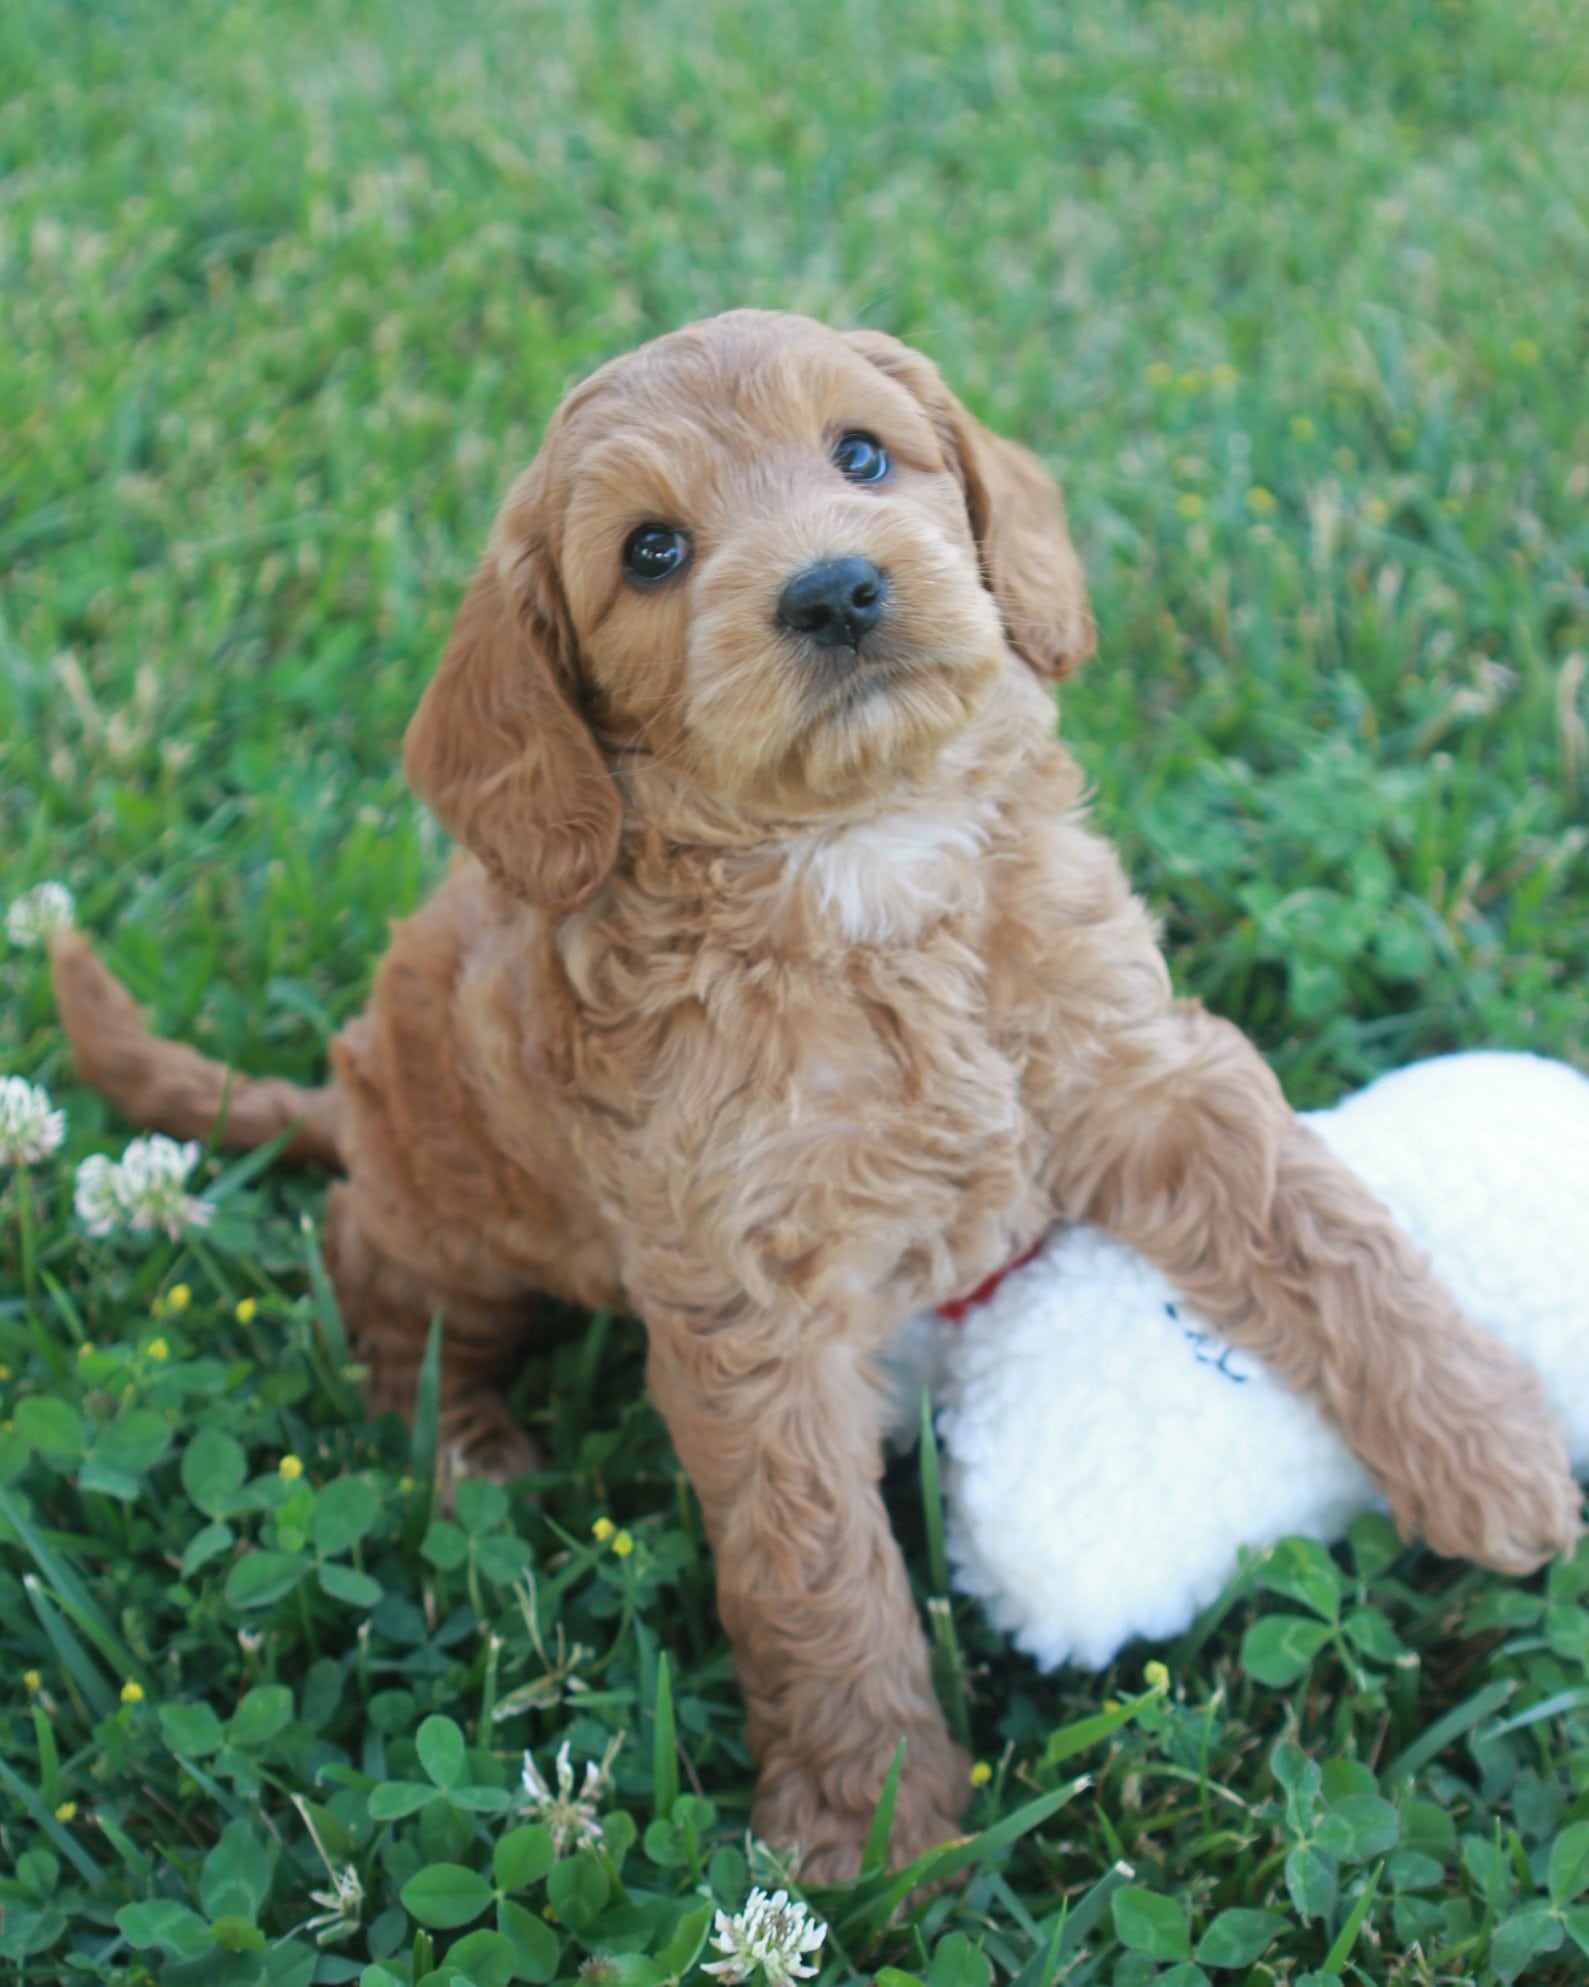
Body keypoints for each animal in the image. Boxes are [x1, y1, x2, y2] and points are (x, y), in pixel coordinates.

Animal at [55, 309, 1581, 1875]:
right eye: (651, 550)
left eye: (861, 454)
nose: (836, 588)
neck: (865, 871)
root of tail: (343, 1092)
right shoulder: (748, 1300)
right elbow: (811, 1564)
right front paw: (870, 1828)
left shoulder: (1141, 1068)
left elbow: (1324, 1229)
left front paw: (1489, 1449)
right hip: (457, 1214)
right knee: (372, 1271)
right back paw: (472, 1452)